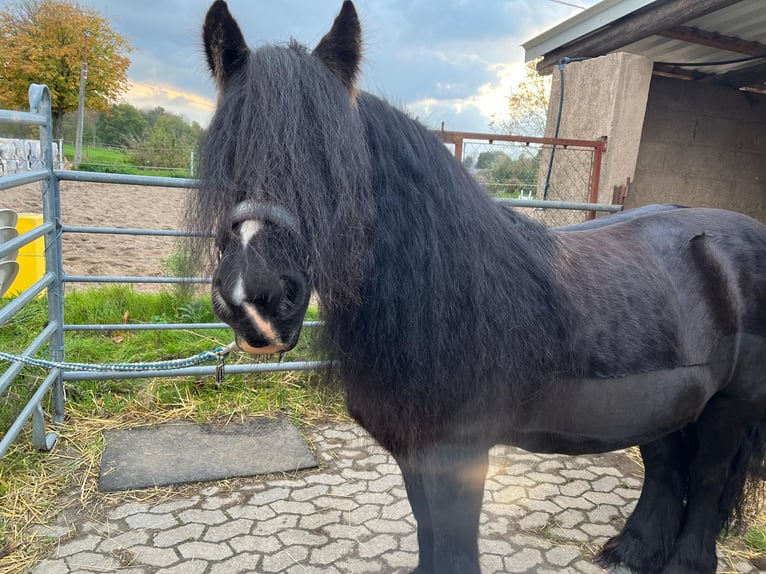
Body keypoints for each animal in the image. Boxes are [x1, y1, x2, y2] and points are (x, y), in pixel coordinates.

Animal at [189, 2, 766, 572]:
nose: (254, 303)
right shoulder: (414, 449)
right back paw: (633, 551)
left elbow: (454, 544)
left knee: (707, 482)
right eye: (226, 149)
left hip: (729, 407)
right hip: (667, 400)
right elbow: (428, 533)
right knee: (665, 464)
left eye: (333, 157)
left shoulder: (458, 452)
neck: (446, 293)